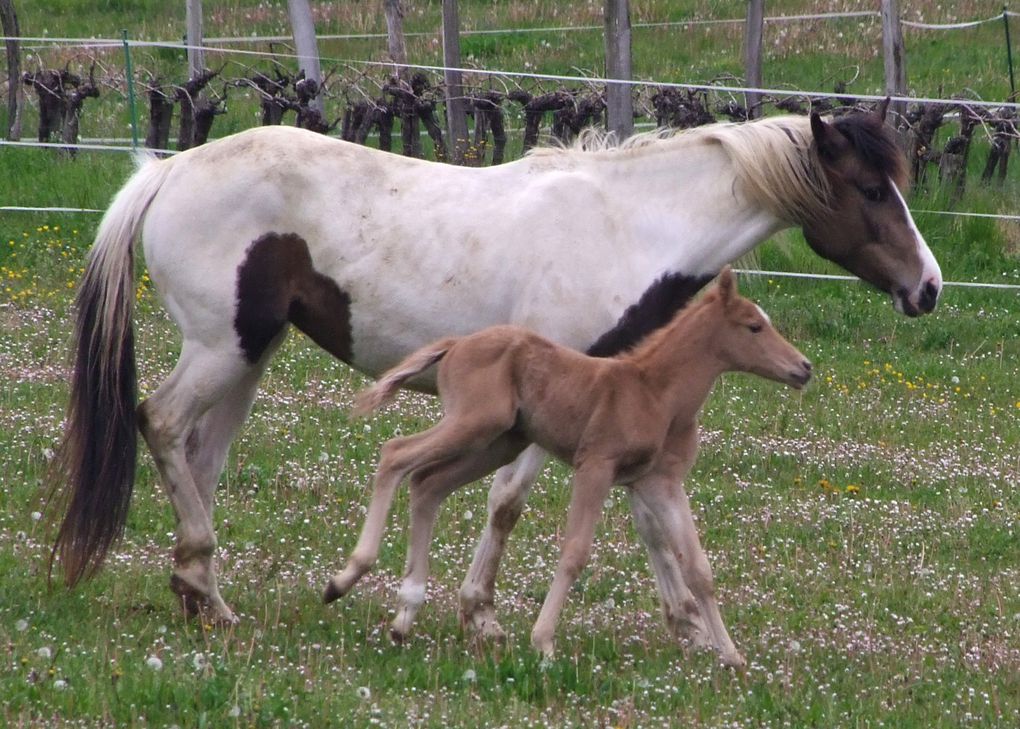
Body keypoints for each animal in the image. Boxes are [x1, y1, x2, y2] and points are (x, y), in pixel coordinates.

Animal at [326, 267, 811, 668]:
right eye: (754, 326)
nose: (804, 368)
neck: (655, 393)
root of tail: (457, 344)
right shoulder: (594, 466)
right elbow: (575, 552)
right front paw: (543, 642)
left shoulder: (661, 482)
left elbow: (698, 567)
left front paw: (730, 655)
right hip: (472, 424)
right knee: (395, 454)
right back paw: (345, 578)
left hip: (497, 443)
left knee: (428, 484)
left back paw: (404, 615)